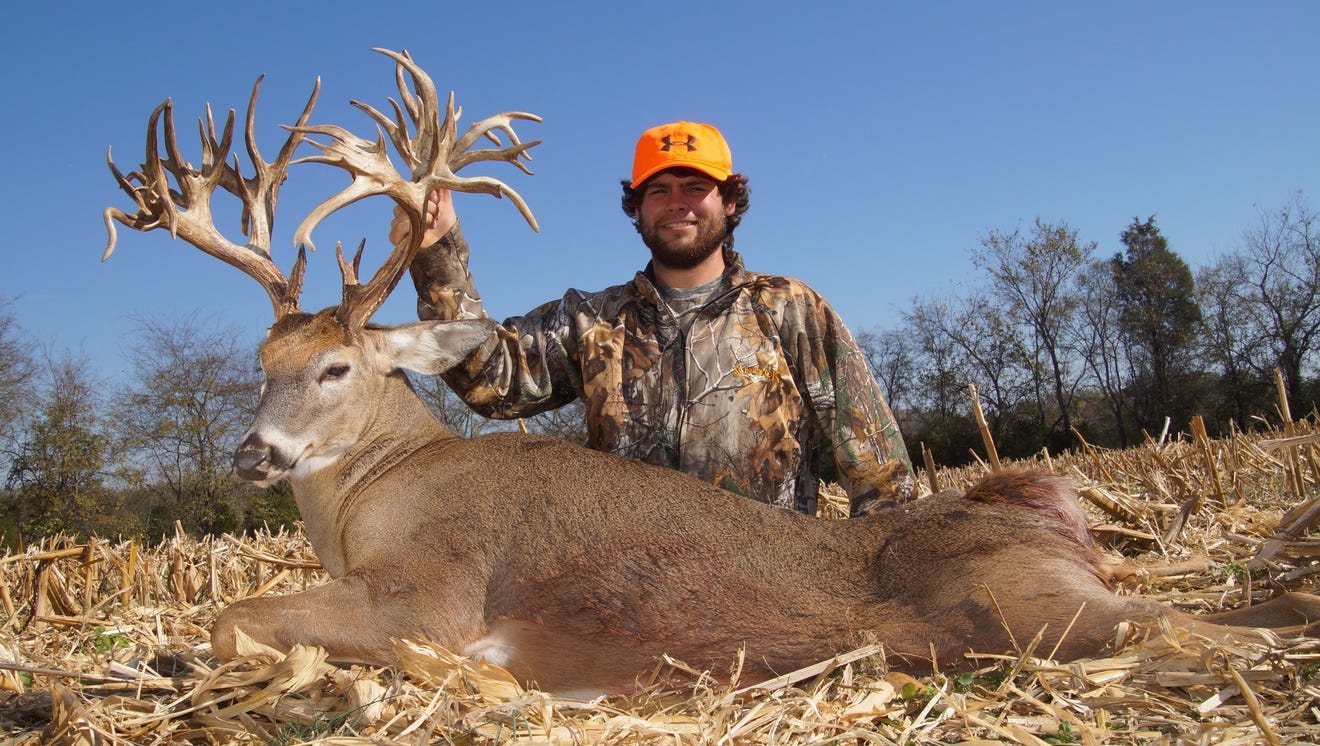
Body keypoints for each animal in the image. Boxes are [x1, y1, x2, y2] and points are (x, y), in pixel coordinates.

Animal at [104, 48, 1320, 698]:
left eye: (336, 366)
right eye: (259, 362)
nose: (253, 451)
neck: (368, 502)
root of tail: (1047, 518)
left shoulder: (431, 590)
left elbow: (230, 619)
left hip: (1031, 606)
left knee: (1198, 628)